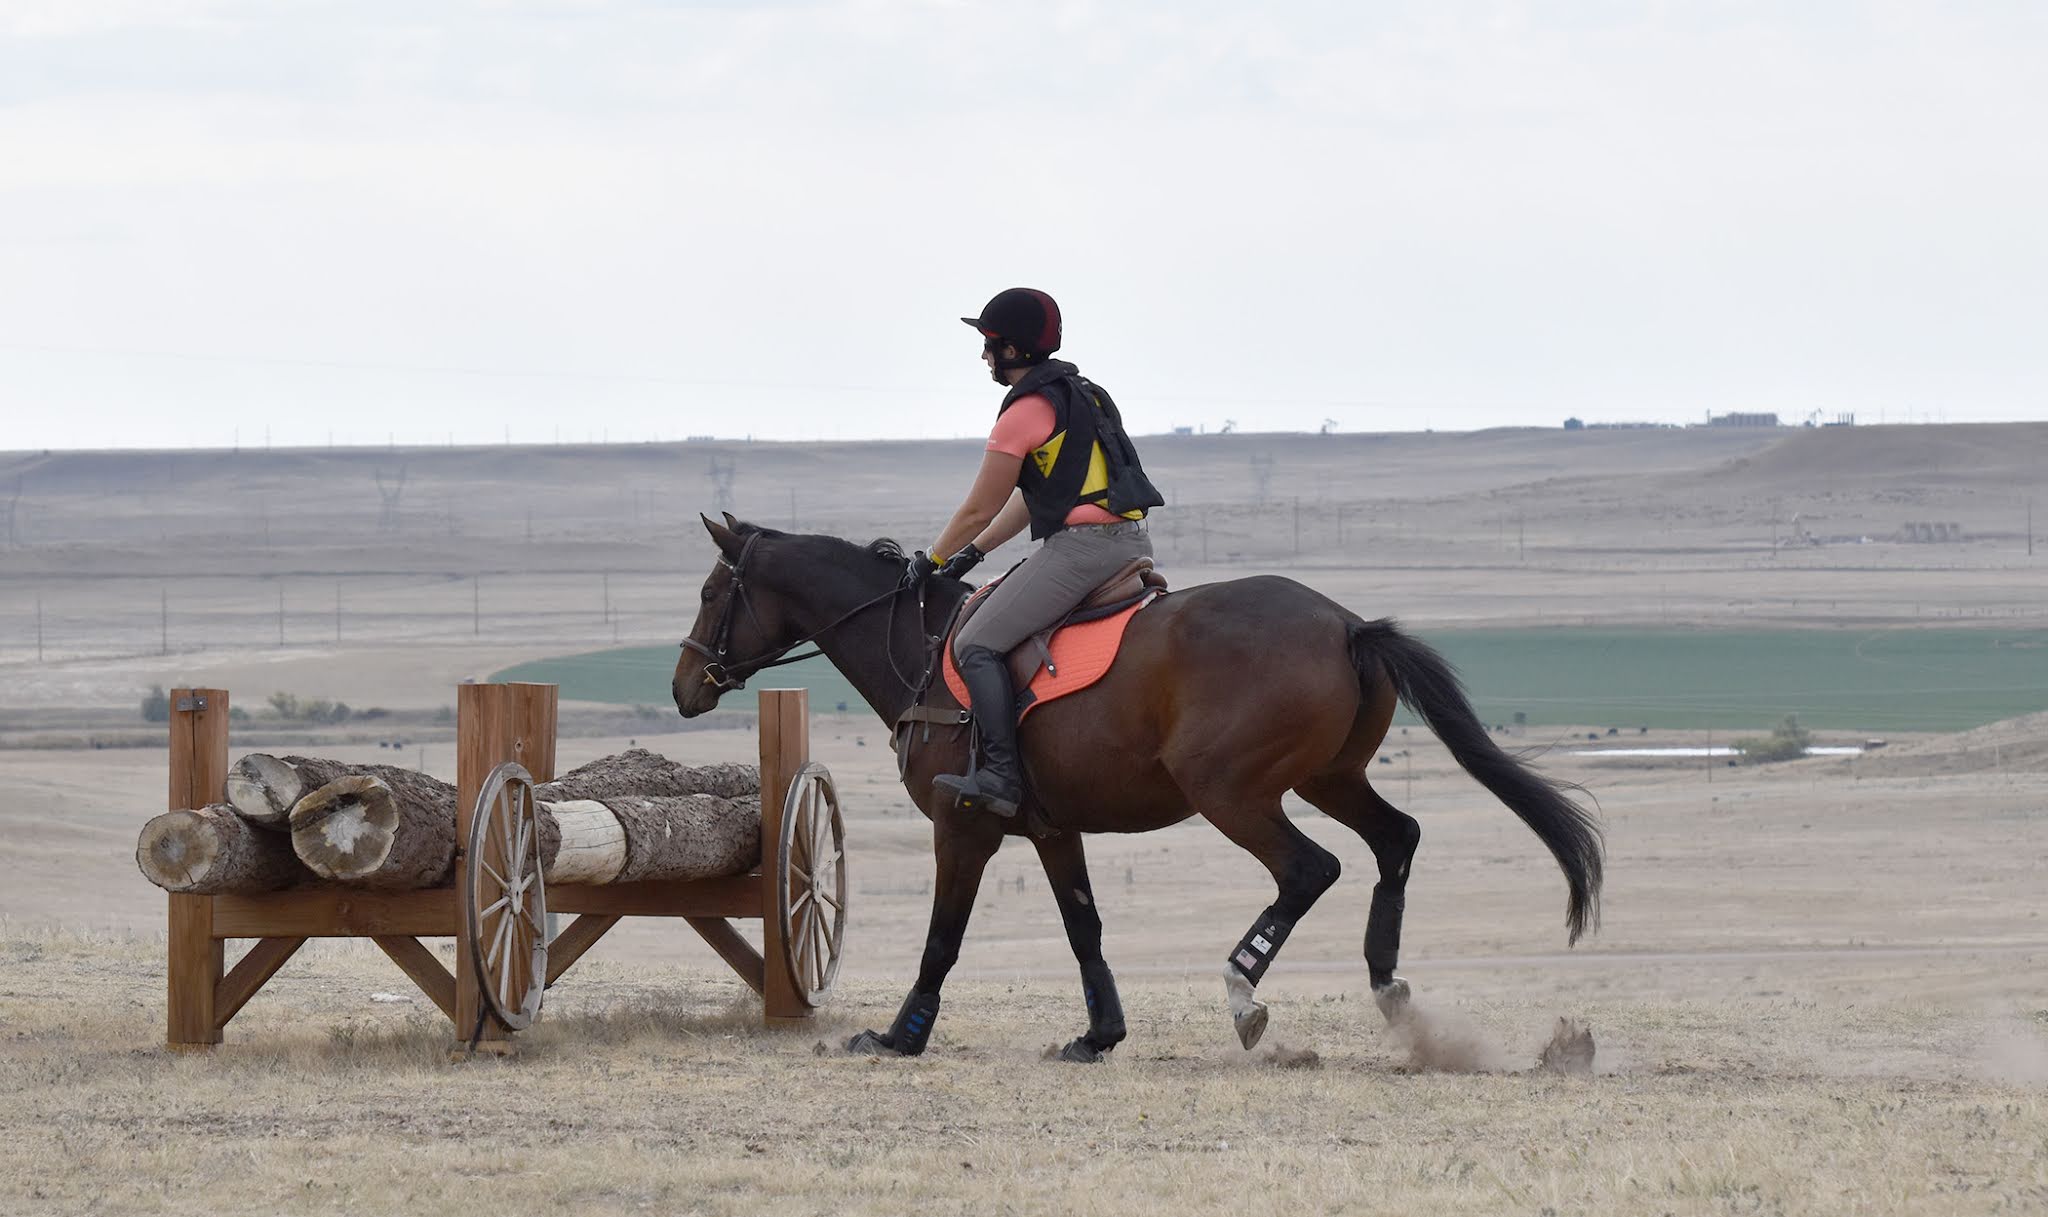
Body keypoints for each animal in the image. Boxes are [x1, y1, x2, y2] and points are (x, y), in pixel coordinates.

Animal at [673, 514, 1603, 1062]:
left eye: (713, 590)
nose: (685, 686)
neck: (921, 645)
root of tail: (1344, 623)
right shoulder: (1052, 828)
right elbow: (1084, 926)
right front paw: (1100, 1033)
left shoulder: (963, 823)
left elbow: (944, 935)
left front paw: (903, 1034)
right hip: (1330, 776)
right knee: (1397, 838)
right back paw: (1390, 990)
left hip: (1232, 790)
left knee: (1310, 869)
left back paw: (1244, 991)